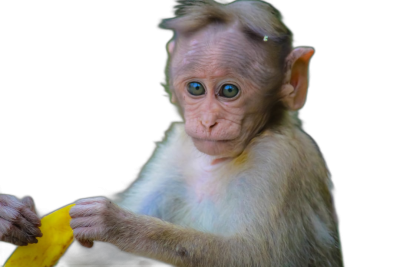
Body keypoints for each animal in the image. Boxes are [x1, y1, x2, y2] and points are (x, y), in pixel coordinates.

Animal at [1, 1, 342, 266]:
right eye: (196, 88)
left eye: (229, 91)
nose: (207, 121)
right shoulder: (177, 151)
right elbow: (100, 256)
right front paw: (10, 214)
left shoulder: (280, 161)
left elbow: (257, 257)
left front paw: (120, 224)